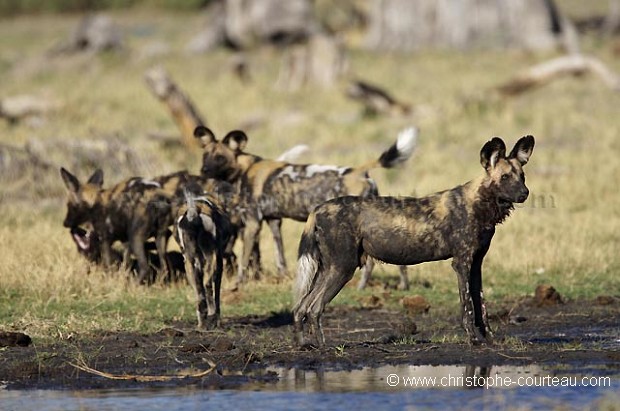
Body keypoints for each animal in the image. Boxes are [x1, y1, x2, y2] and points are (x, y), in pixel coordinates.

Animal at [174, 189, 232, 328]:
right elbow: (217, 294)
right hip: (211, 257)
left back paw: (201, 324)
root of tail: (194, 214)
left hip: (189, 263)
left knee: (199, 293)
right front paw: (217, 320)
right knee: (208, 285)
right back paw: (211, 316)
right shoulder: (219, 260)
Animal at [195, 125, 416, 290]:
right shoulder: (273, 221)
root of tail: (359, 171)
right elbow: (280, 255)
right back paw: (400, 286)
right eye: (205, 155)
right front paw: (283, 275)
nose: (203, 170)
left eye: (220, 158)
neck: (245, 168)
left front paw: (237, 284)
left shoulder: (252, 223)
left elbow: (243, 259)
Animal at [294, 136, 536, 348]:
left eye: (522, 176)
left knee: (300, 308)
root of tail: (318, 209)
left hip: (328, 269)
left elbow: (481, 307)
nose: (525, 193)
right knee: (314, 307)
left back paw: (304, 344)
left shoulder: (476, 266)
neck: (479, 204)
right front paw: (473, 340)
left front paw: (490, 339)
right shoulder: (462, 264)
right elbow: (467, 306)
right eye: (505, 177)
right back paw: (324, 346)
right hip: (343, 268)